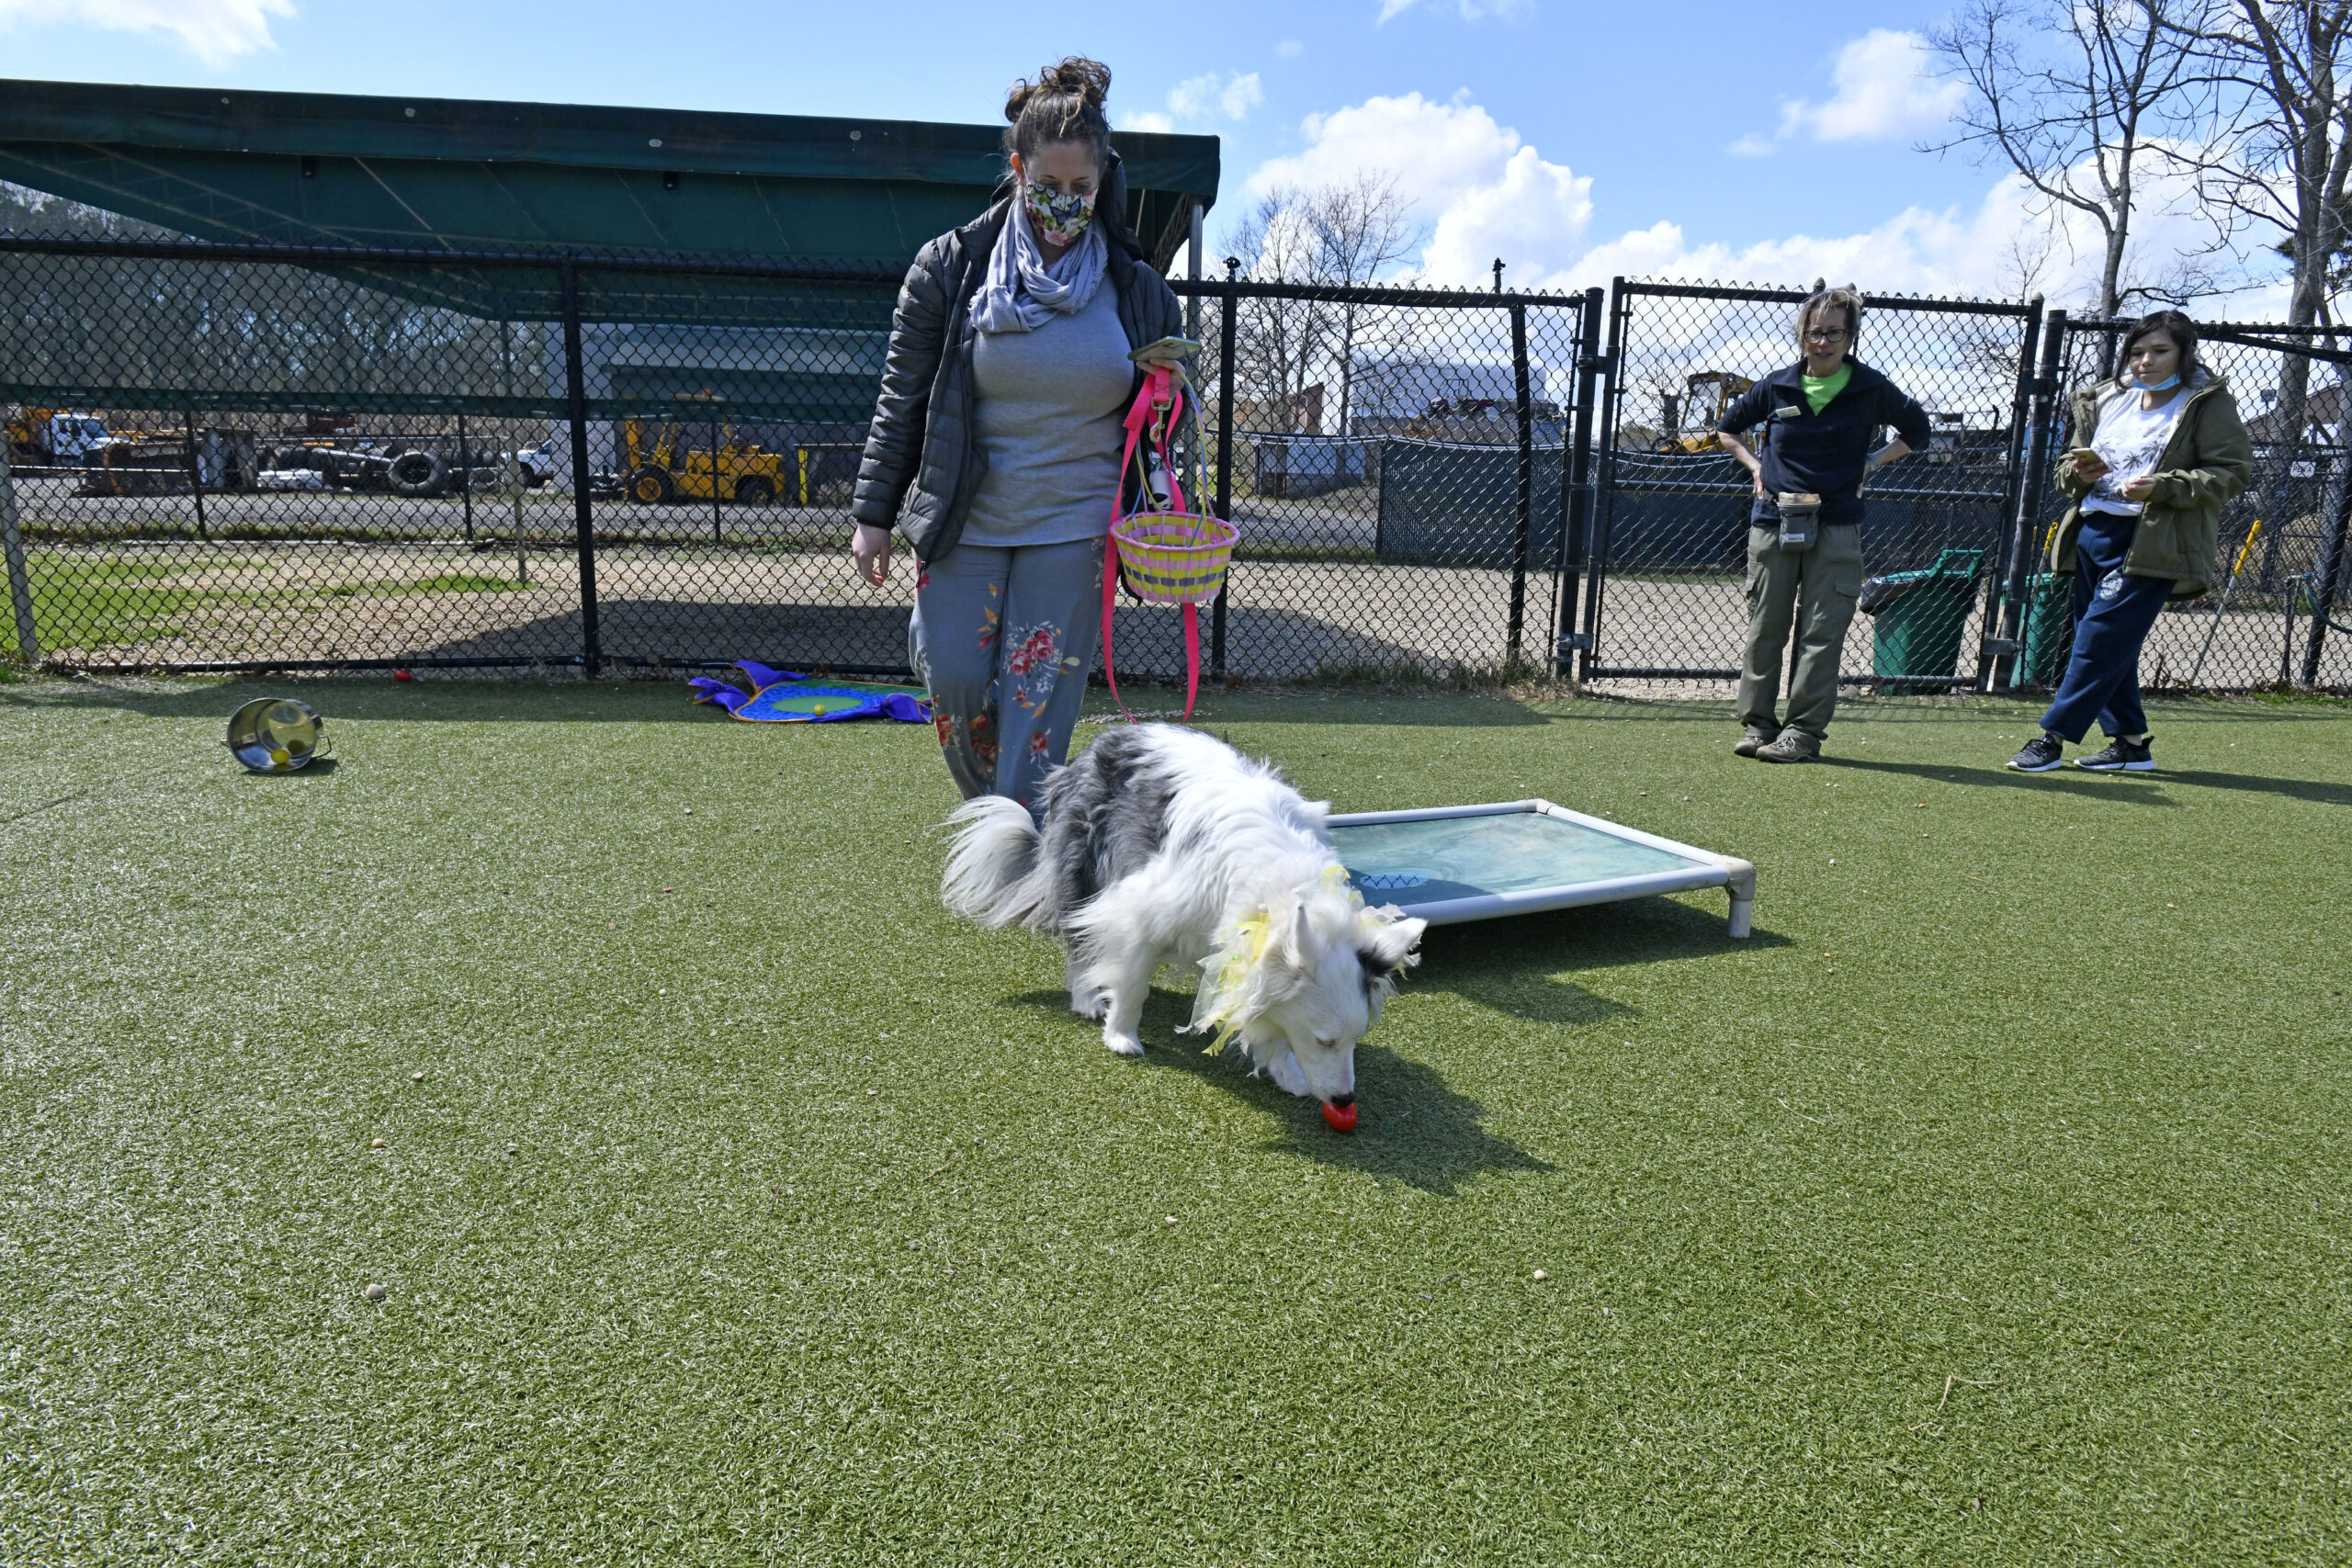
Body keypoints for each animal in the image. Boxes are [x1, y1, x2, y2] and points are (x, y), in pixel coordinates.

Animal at [941, 728, 1420, 1109]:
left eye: (1357, 1038)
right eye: (1325, 1040)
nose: (1345, 1100)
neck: (1285, 886)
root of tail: (1101, 740)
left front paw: (1285, 1072)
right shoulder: (1138, 906)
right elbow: (1132, 981)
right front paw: (1121, 1035)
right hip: (1085, 870)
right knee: (1080, 939)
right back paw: (1087, 997)